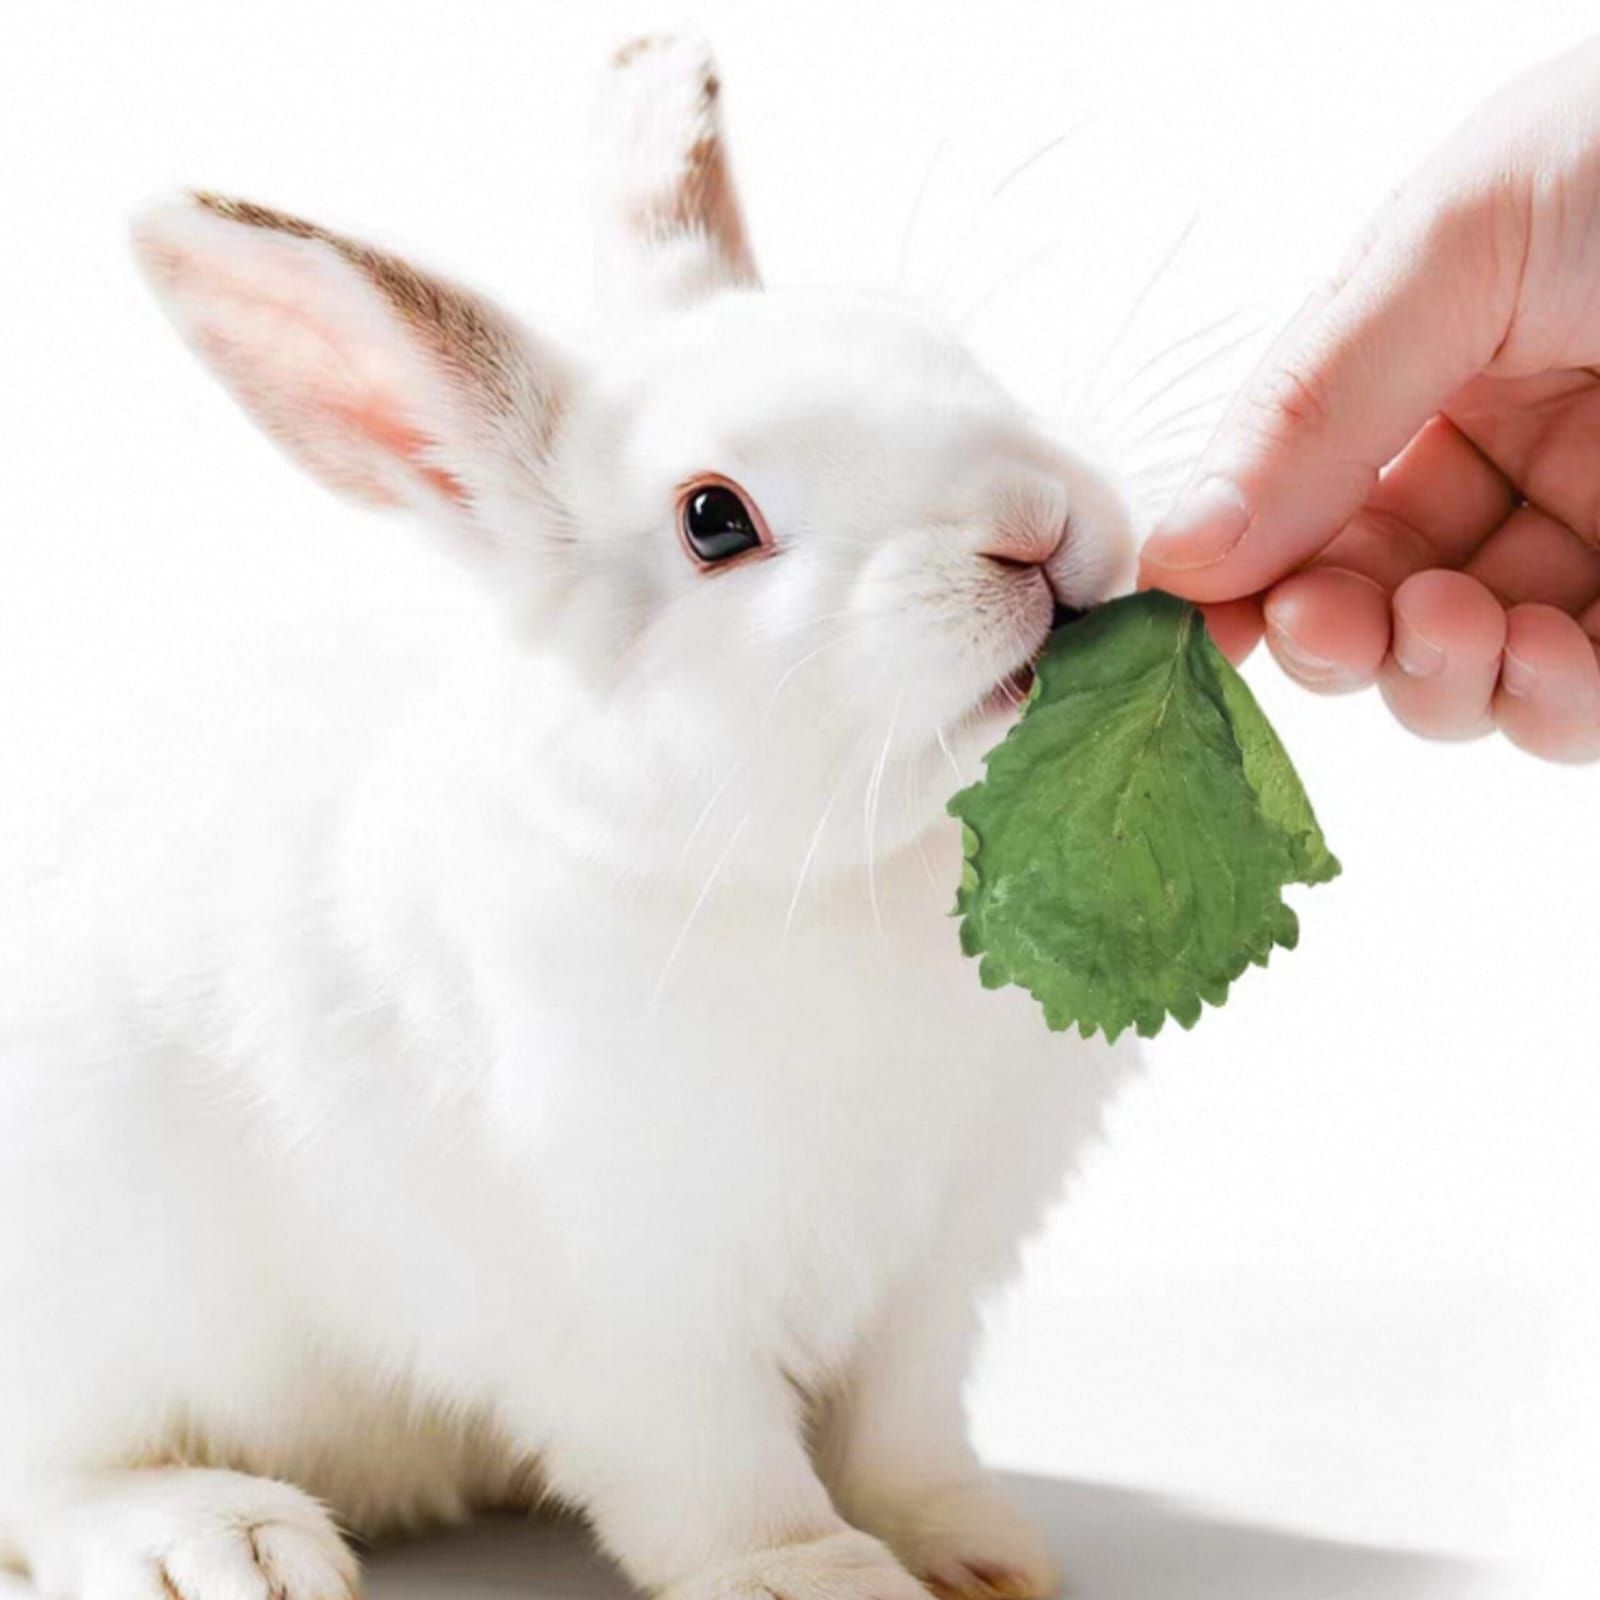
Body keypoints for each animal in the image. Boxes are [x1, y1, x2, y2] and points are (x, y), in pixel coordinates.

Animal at [0, 32, 1139, 1600]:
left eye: (946, 356)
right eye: (715, 520)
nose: (1032, 524)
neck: (831, 869)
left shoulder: (930, 1275)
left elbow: (902, 1436)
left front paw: (976, 1558)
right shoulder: (626, 1307)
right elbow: (718, 1475)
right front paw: (817, 1578)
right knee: (55, 1472)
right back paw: (224, 1542)